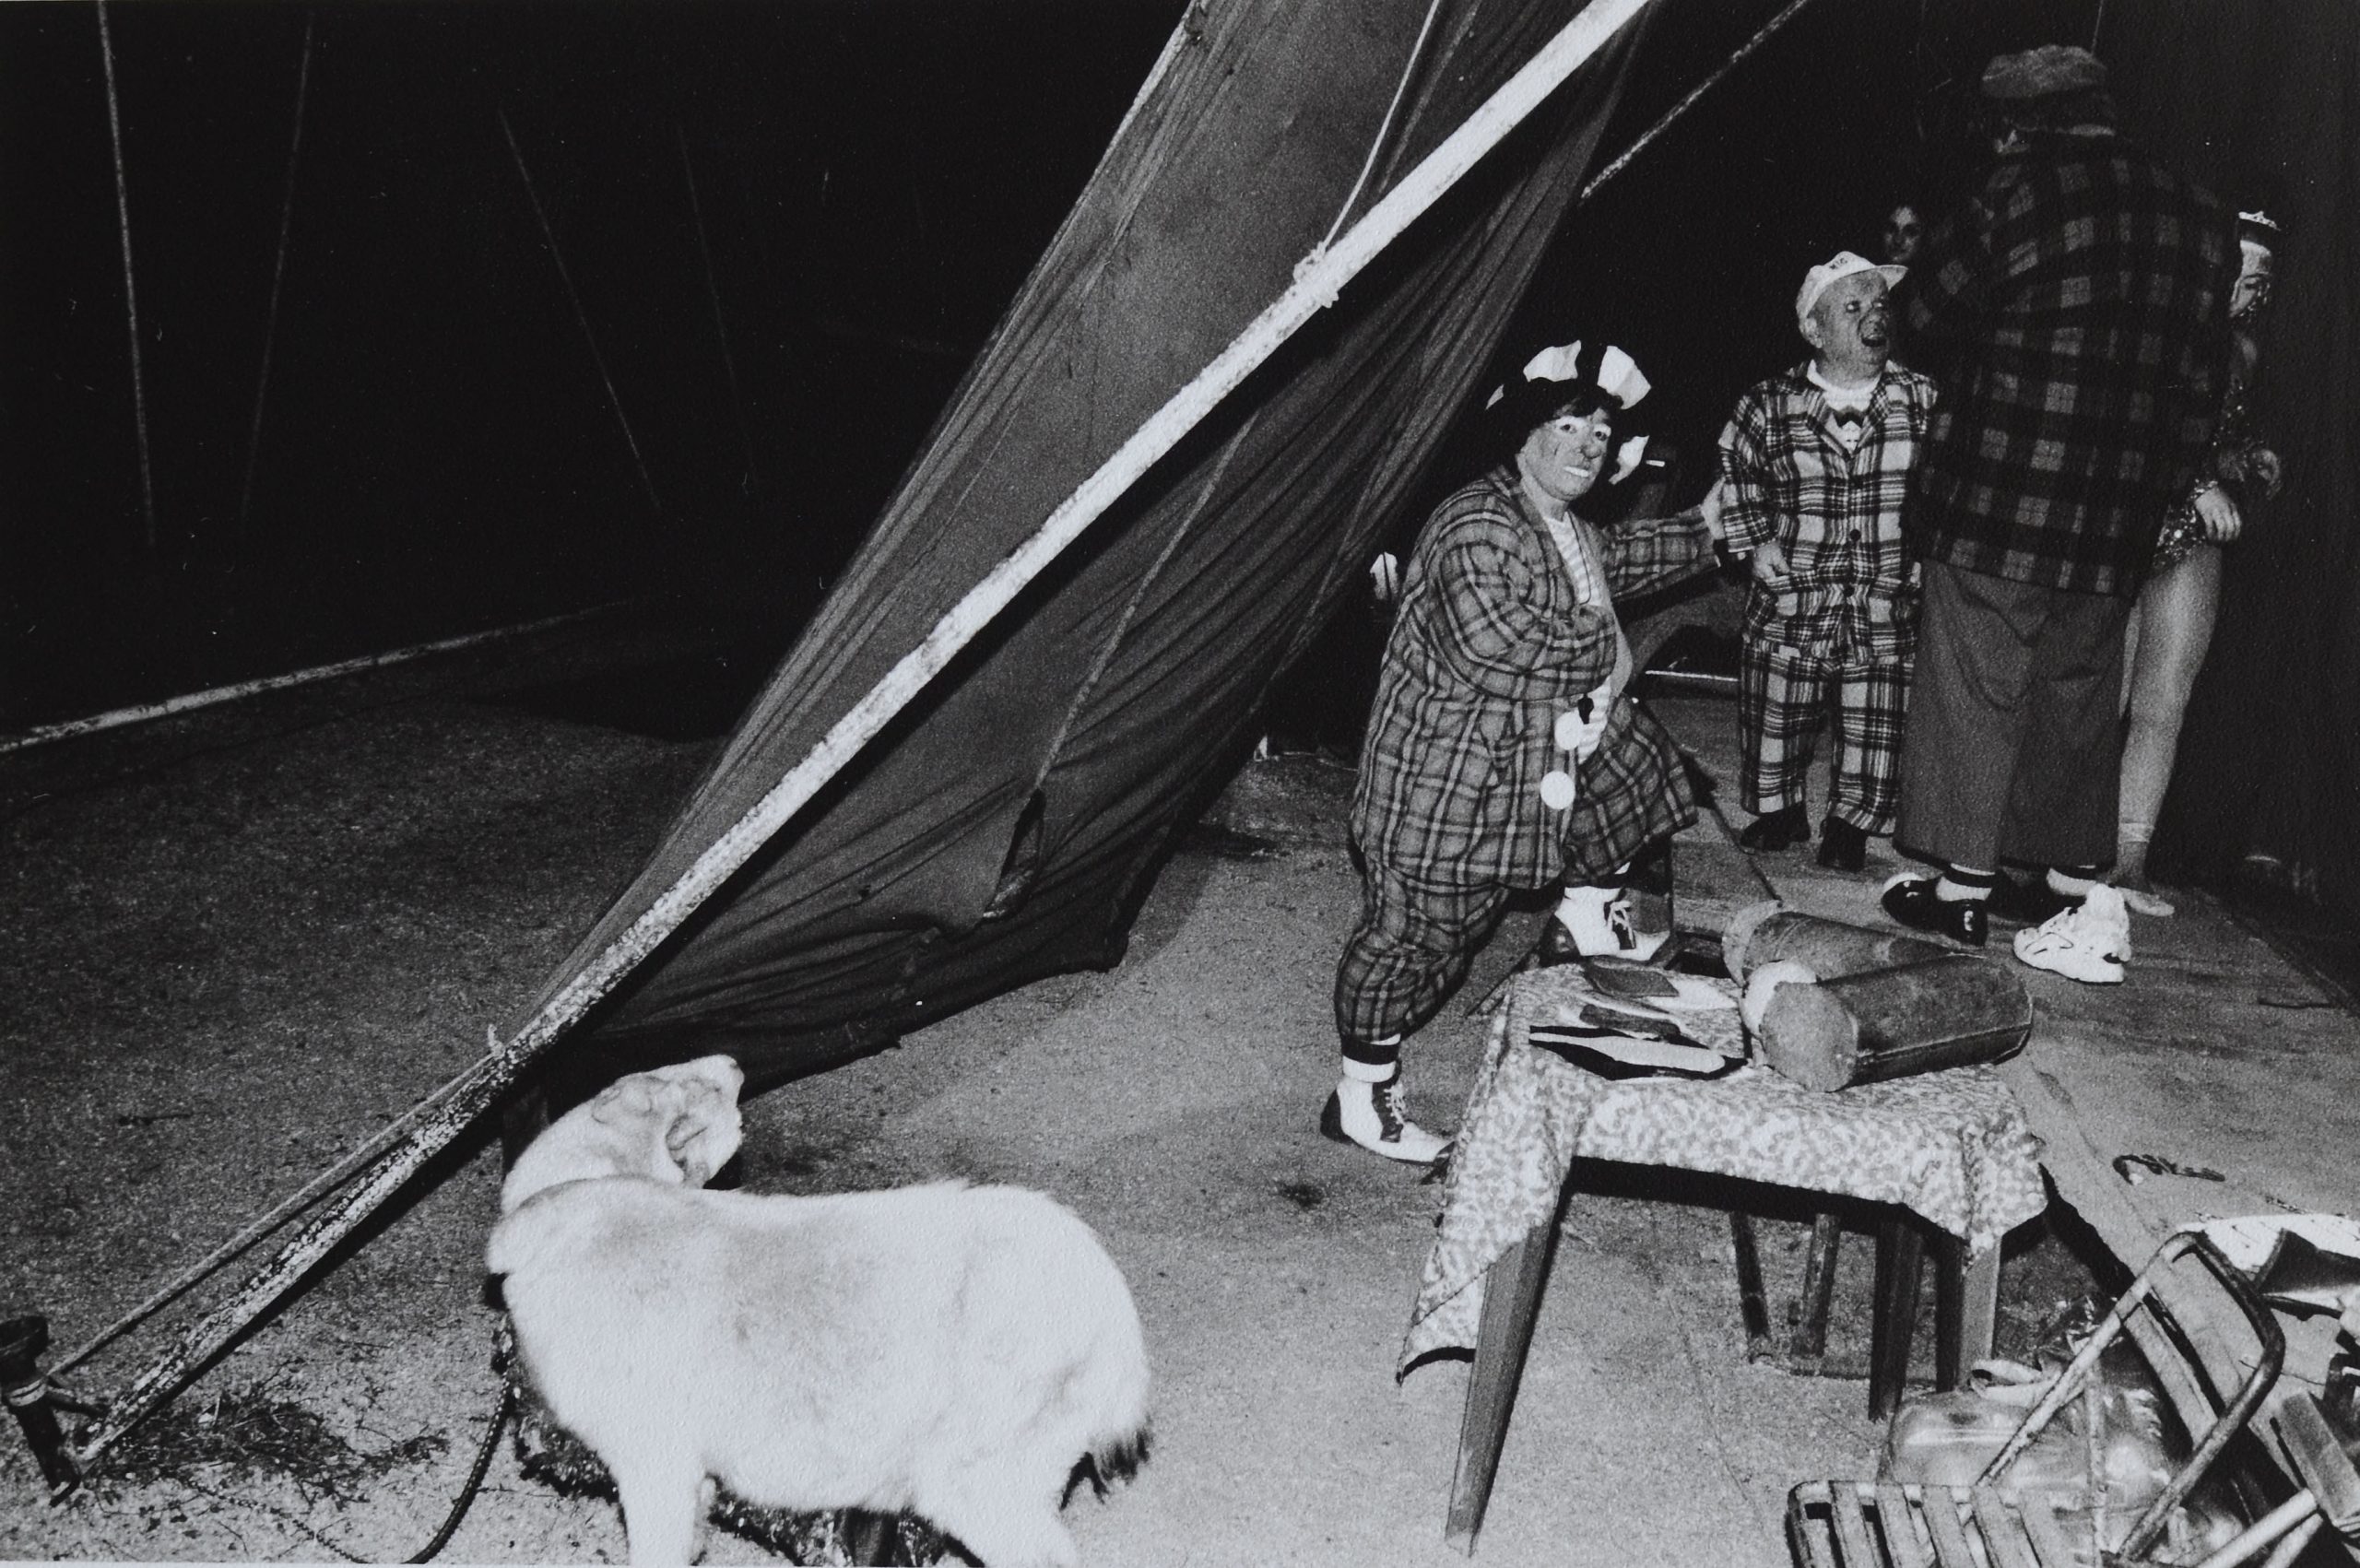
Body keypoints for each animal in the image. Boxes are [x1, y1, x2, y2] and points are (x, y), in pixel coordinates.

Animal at [483, 1057, 1147, 1558]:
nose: (735, 1063)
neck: (570, 1195)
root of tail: (1112, 1311)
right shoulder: (687, 1476)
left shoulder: (654, 1460)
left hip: (980, 1475)